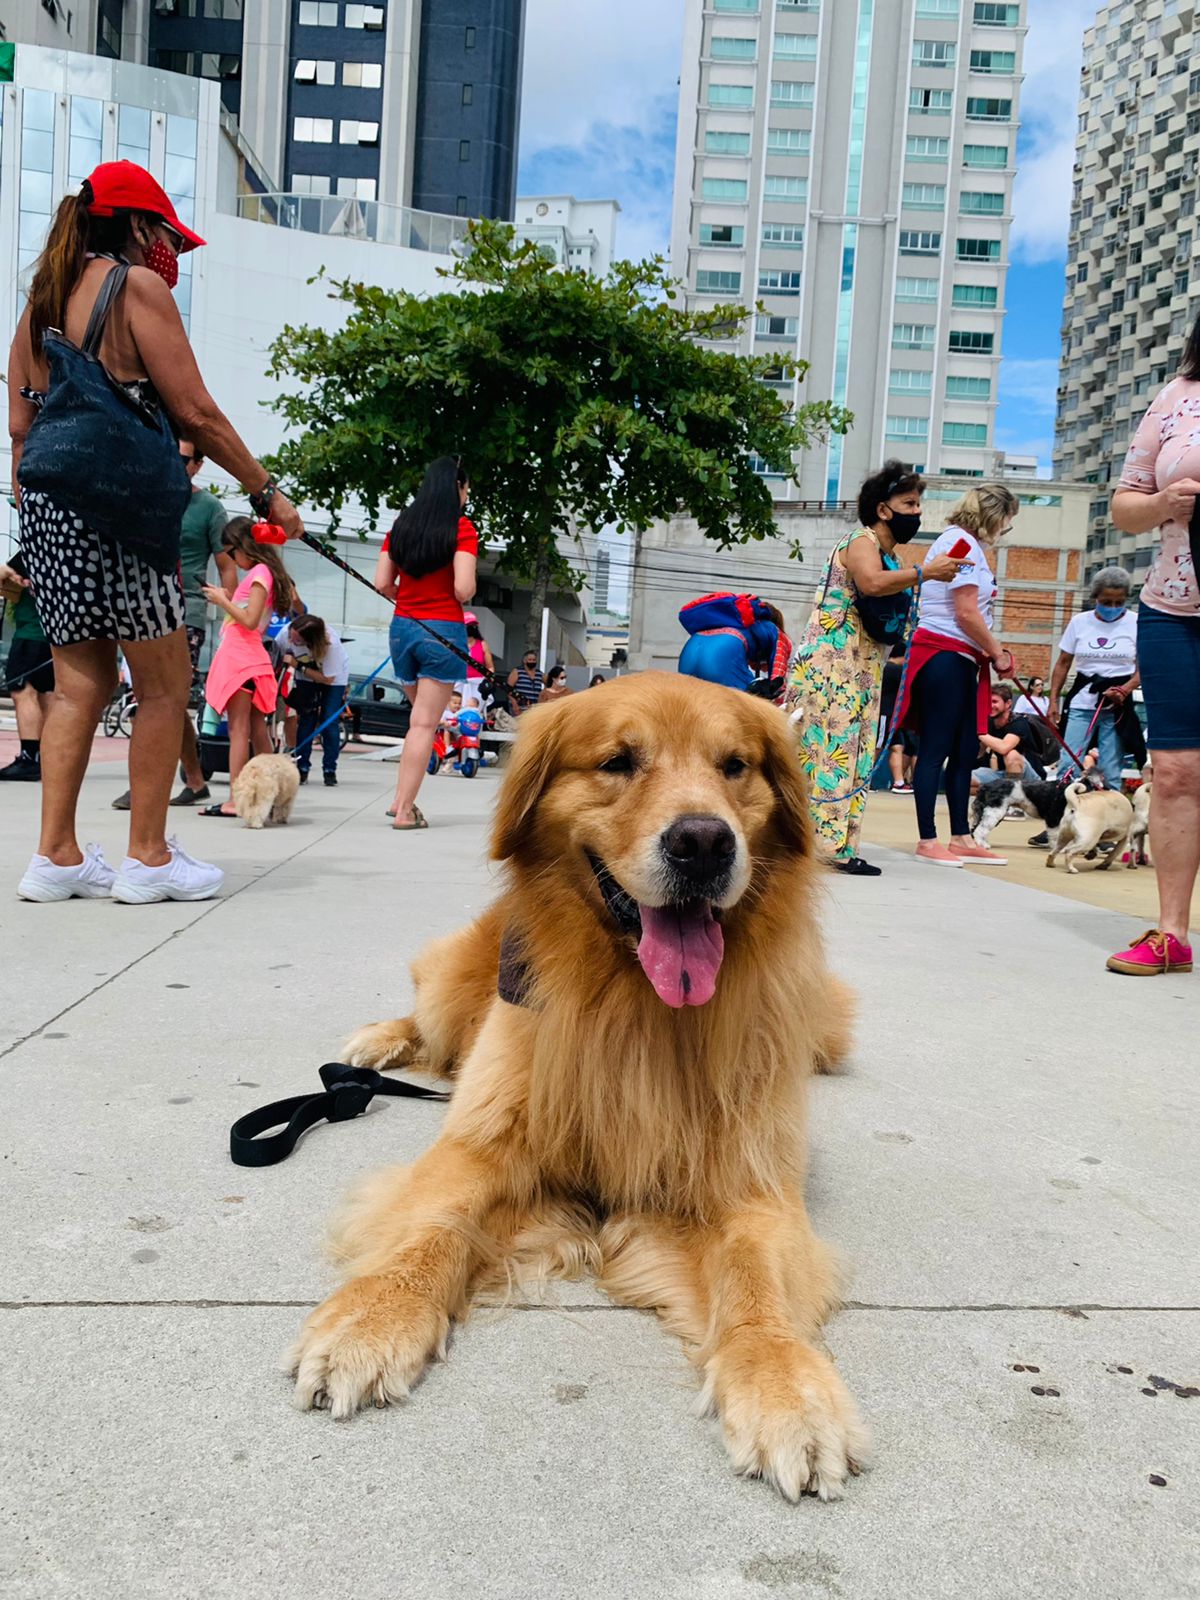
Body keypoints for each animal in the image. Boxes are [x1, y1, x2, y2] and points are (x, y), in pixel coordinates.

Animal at [966, 771, 1107, 857]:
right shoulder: (1053, 818)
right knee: (980, 829)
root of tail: (985, 786)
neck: (1072, 791)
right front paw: (1058, 849)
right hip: (995, 811)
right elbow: (1055, 836)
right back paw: (982, 845)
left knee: (977, 828)